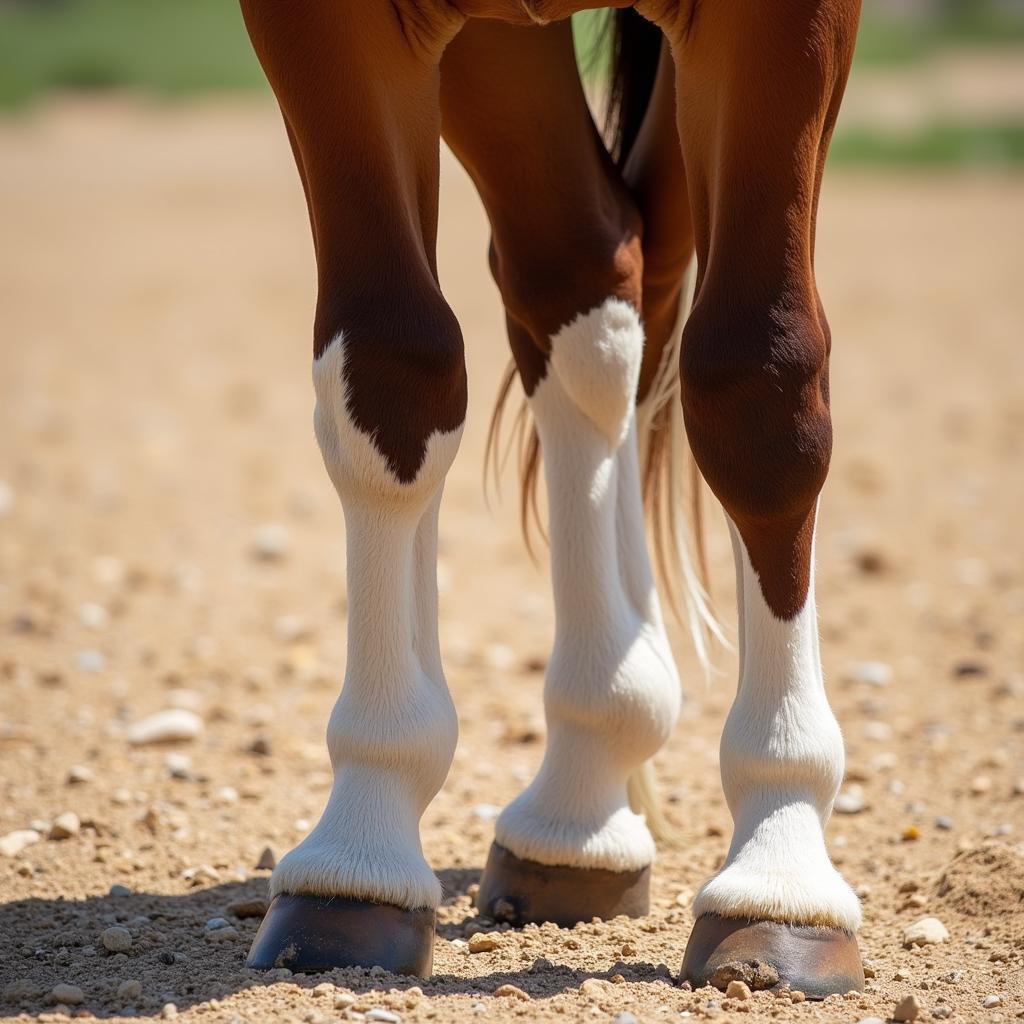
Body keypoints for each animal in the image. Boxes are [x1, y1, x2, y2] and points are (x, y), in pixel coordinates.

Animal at [234, 0, 864, 995]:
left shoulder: (786, 28)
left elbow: (760, 386)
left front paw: (780, 874)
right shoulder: (329, 30)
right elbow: (392, 372)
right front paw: (360, 853)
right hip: (504, 47)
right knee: (585, 270)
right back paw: (585, 793)